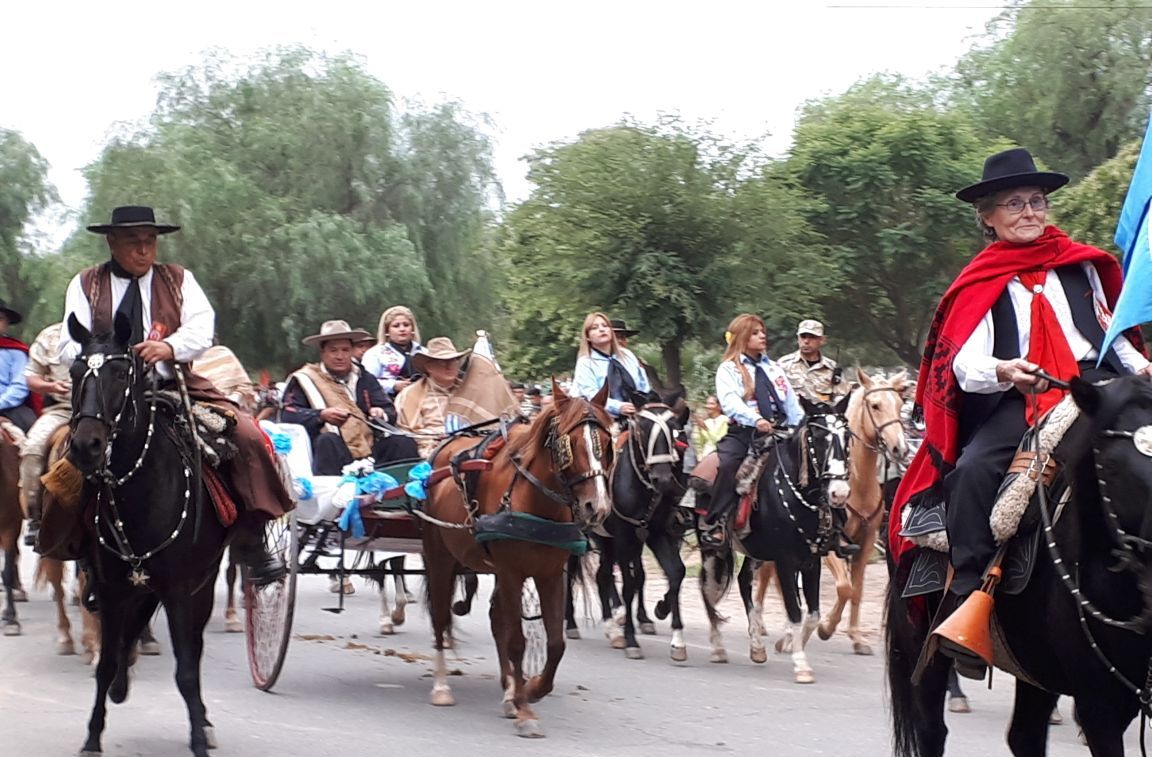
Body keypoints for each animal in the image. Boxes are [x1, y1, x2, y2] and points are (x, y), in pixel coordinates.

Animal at [69, 313, 229, 755]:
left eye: (122, 372)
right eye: (74, 372)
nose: (86, 446)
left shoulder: (178, 588)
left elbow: (187, 670)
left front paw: (197, 737)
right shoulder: (111, 587)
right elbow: (106, 663)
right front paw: (92, 736)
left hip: (202, 584)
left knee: (194, 646)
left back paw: (204, 720)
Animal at [423, 380, 617, 737]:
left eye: (608, 444)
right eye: (569, 443)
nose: (596, 507)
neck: (536, 501)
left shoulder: (551, 574)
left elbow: (555, 643)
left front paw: (531, 688)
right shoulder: (511, 571)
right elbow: (516, 641)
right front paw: (526, 709)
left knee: (495, 617)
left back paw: (509, 691)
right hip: (439, 556)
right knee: (441, 616)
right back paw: (442, 686)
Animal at [889, 375, 1152, 755]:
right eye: (1112, 468)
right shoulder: (1098, 704)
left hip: (1035, 663)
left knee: (1023, 735)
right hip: (921, 641)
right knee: (931, 730)